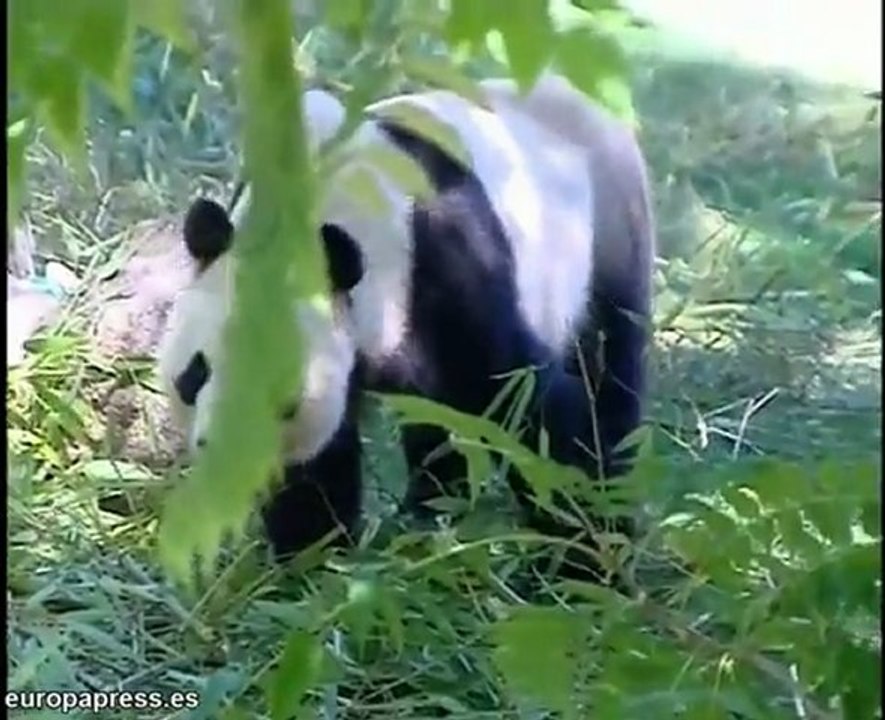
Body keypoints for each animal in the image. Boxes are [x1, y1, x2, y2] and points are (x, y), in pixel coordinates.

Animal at [157, 73, 656, 578]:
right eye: (195, 373)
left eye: (280, 392)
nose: (222, 452)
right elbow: (316, 464)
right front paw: (308, 564)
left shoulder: (451, 263)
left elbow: (533, 411)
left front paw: (584, 562)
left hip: (607, 227)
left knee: (608, 367)